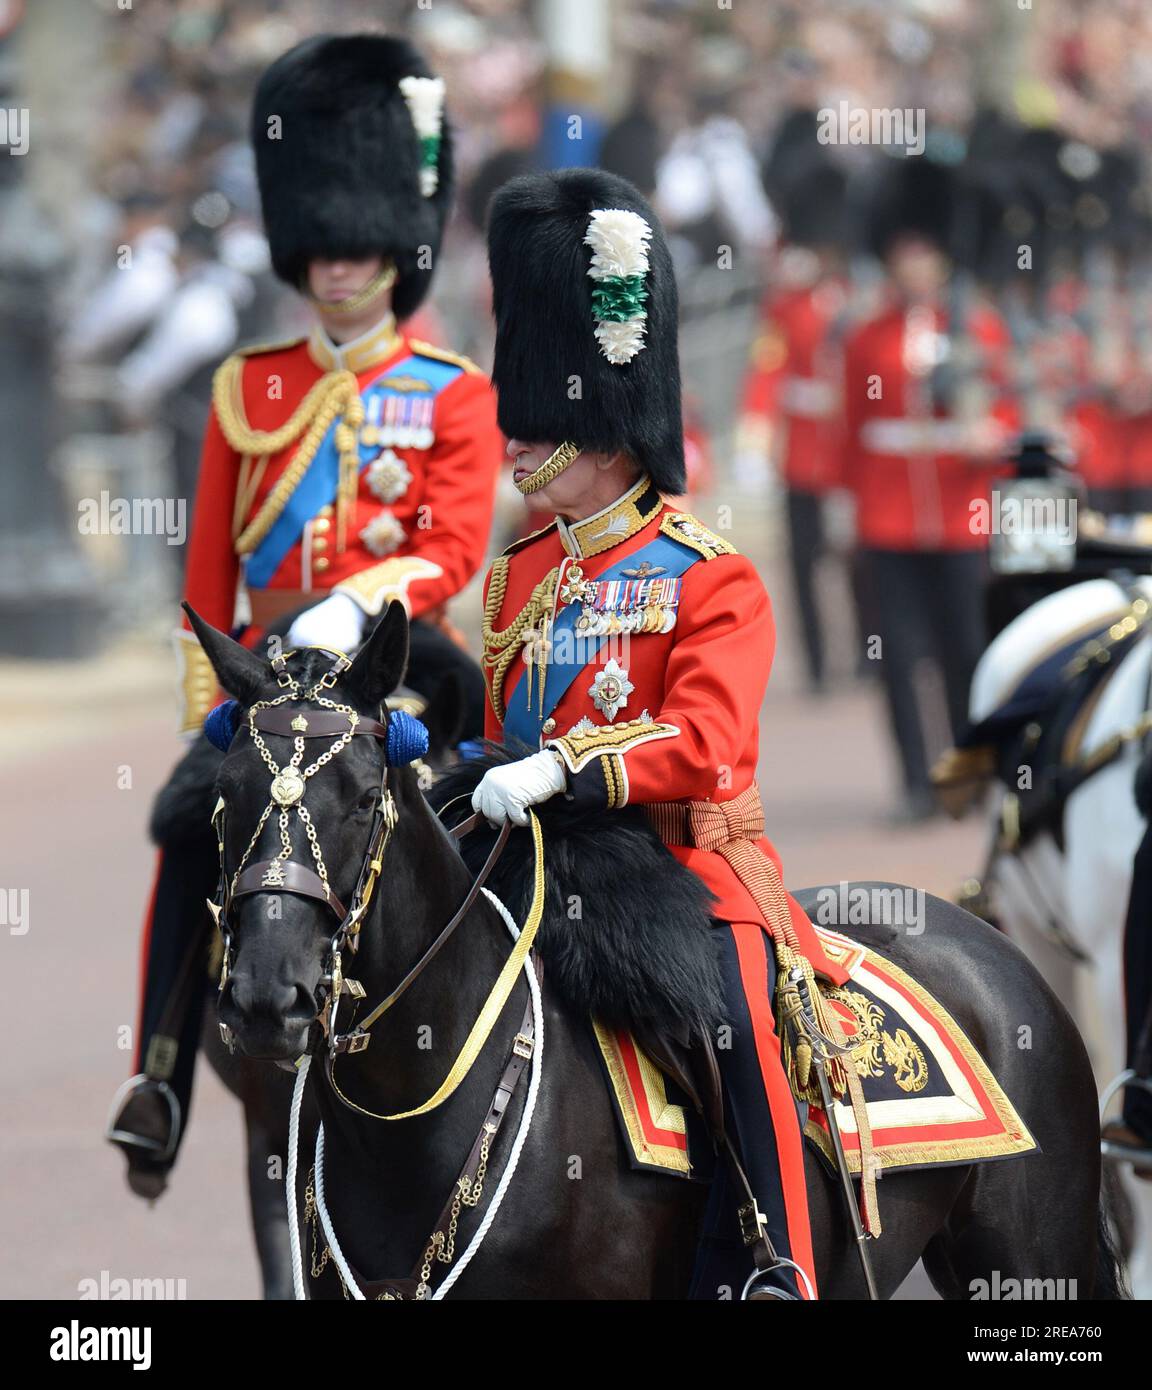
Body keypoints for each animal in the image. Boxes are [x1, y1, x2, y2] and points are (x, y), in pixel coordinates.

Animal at [190, 608, 1122, 1301]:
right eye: (226, 794)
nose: (268, 997)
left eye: (360, 799)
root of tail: (989, 944)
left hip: (1033, 1260)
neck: (410, 1113)